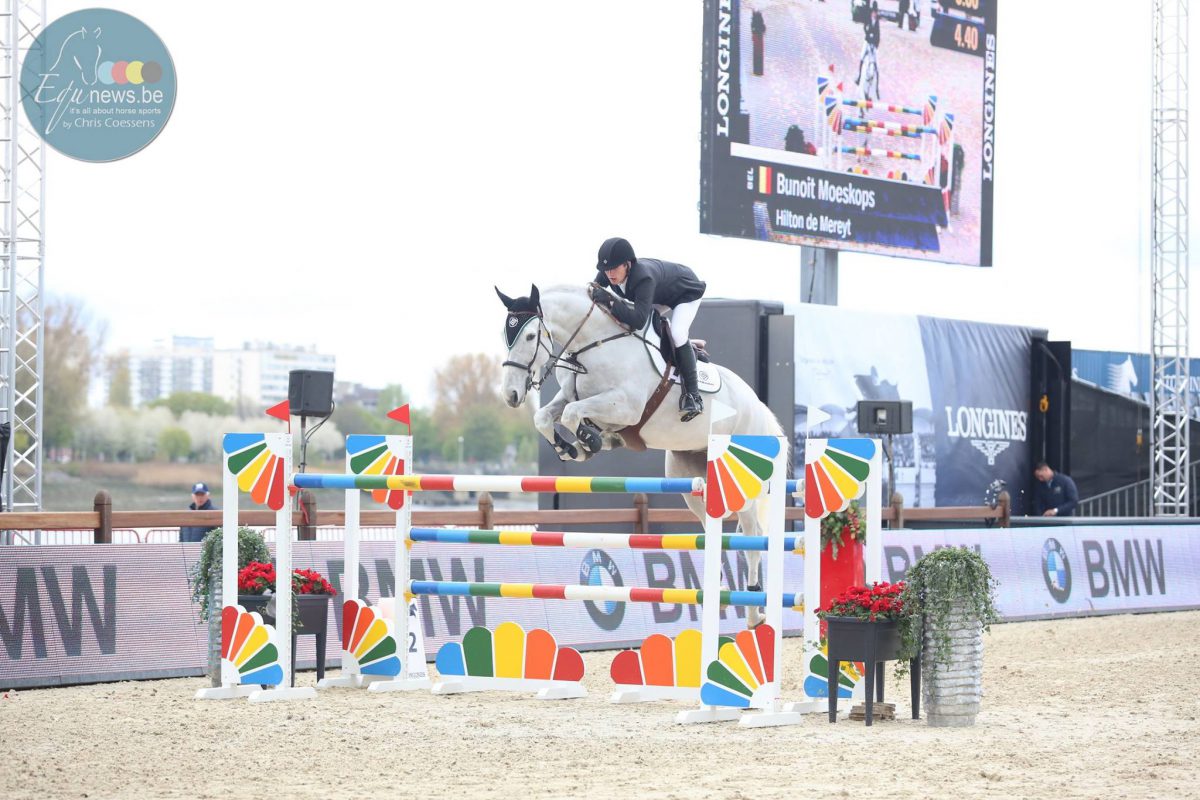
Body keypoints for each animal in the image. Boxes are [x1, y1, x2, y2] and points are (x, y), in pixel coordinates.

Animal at [496, 284, 787, 628]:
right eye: (505, 335)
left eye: (530, 336)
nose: (511, 395)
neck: (593, 344)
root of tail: (757, 404)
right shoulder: (572, 396)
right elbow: (546, 416)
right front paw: (574, 446)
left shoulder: (625, 406)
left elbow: (571, 414)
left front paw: (589, 440)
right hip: (689, 478)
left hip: (741, 479)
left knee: (753, 535)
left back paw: (755, 612)